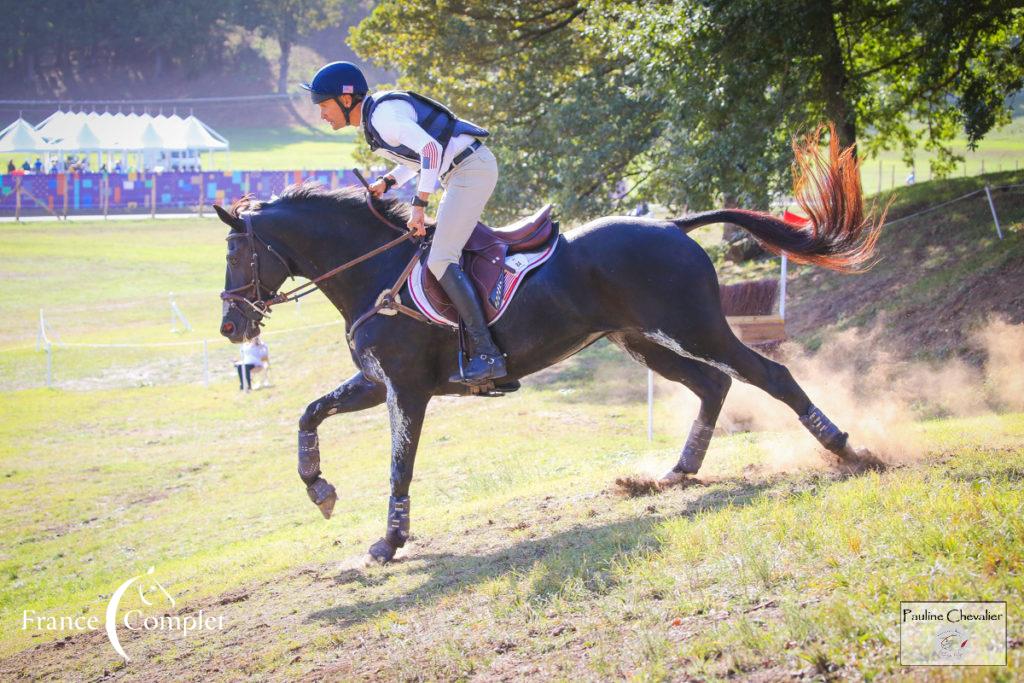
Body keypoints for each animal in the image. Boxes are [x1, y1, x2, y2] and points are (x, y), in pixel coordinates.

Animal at [216, 125, 888, 565]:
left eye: (237, 254)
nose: (230, 328)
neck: (372, 271)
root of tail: (673, 224)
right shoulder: (377, 383)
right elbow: (310, 413)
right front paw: (319, 489)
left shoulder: (406, 389)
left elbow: (399, 462)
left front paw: (389, 541)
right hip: (643, 340)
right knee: (714, 384)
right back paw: (675, 473)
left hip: (696, 326)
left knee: (767, 377)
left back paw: (846, 449)